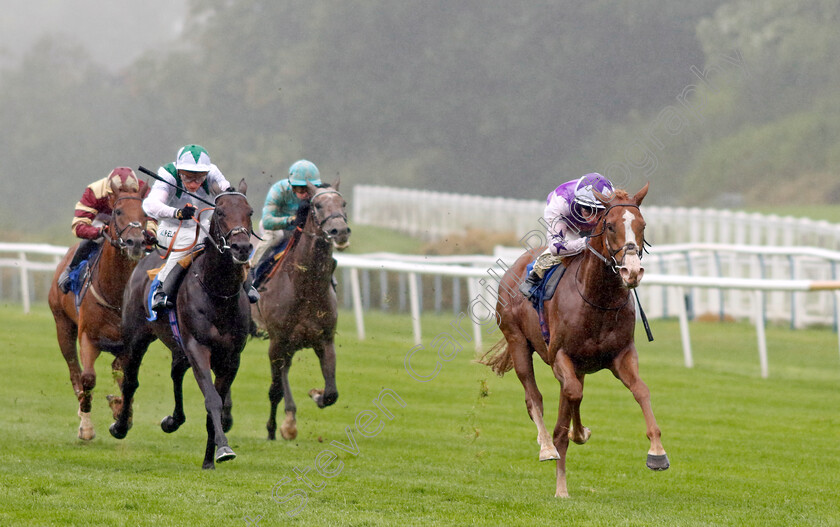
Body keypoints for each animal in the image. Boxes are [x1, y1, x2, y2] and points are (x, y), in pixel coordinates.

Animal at [48, 176, 149, 442]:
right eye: (118, 211)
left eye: (145, 213)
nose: (136, 242)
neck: (115, 294)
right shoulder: (87, 336)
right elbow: (87, 378)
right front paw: (86, 427)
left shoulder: (128, 343)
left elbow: (124, 378)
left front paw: (121, 411)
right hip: (62, 325)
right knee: (74, 372)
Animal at [111, 179, 256, 468]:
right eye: (220, 212)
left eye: (250, 212)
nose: (242, 247)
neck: (218, 293)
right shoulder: (197, 346)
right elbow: (212, 399)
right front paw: (224, 448)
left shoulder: (231, 357)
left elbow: (218, 402)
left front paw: (210, 458)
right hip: (137, 337)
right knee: (131, 380)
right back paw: (120, 427)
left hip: (178, 345)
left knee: (176, 371)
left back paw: (173, 421)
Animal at [253, 182, 352, 442]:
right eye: (317, 205)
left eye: (344, 203)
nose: (340, 231)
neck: (306, 286)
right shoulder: (277, 341)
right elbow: (274, 390)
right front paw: (271, 430)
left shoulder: (324, 340)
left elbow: (332, 392)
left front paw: (316, 394)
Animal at [480, 184, 668, 498]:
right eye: (610, 225)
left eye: (642, 225)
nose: (631, 271)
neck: (598, 299)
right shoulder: (559, 355)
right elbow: (571, 396)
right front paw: (570, 448)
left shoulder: (622, 355)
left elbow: (640, 390)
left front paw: (657, 452)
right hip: (517, 341)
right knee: (535, 398)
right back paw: (547, 448)